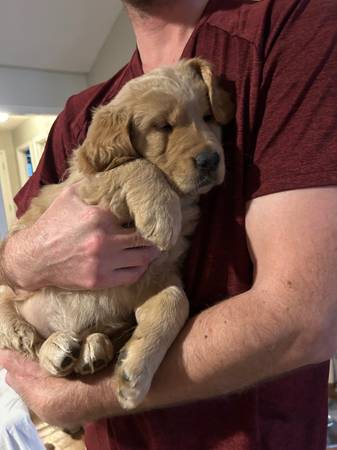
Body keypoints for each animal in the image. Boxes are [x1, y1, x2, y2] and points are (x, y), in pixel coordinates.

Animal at [0, 58, 231, 410]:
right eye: (162, 127)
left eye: (207, 117)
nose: (210, 159)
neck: (179, 196)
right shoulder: (85, 188)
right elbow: (134, 165)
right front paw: (162, 215)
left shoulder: (156, 273)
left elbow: (175, 301)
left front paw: (134, 371)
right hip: (11, 291)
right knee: (25, 336)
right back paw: (45, 344)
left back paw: (89, 350)